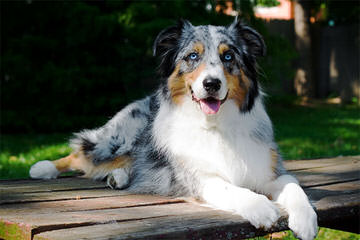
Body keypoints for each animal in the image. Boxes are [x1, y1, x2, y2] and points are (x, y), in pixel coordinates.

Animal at [30, 18, 318, 240]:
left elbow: (294, 186)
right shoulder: (197, 179)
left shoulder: (270, 172)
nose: (211, 84)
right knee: (82, 152)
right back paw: (44, 167)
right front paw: (261, 207)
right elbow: (231, 189)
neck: (216, 125)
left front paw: (306, 220)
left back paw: (118, 177)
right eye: (193, 56)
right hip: (117, 140)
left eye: (228, 56)